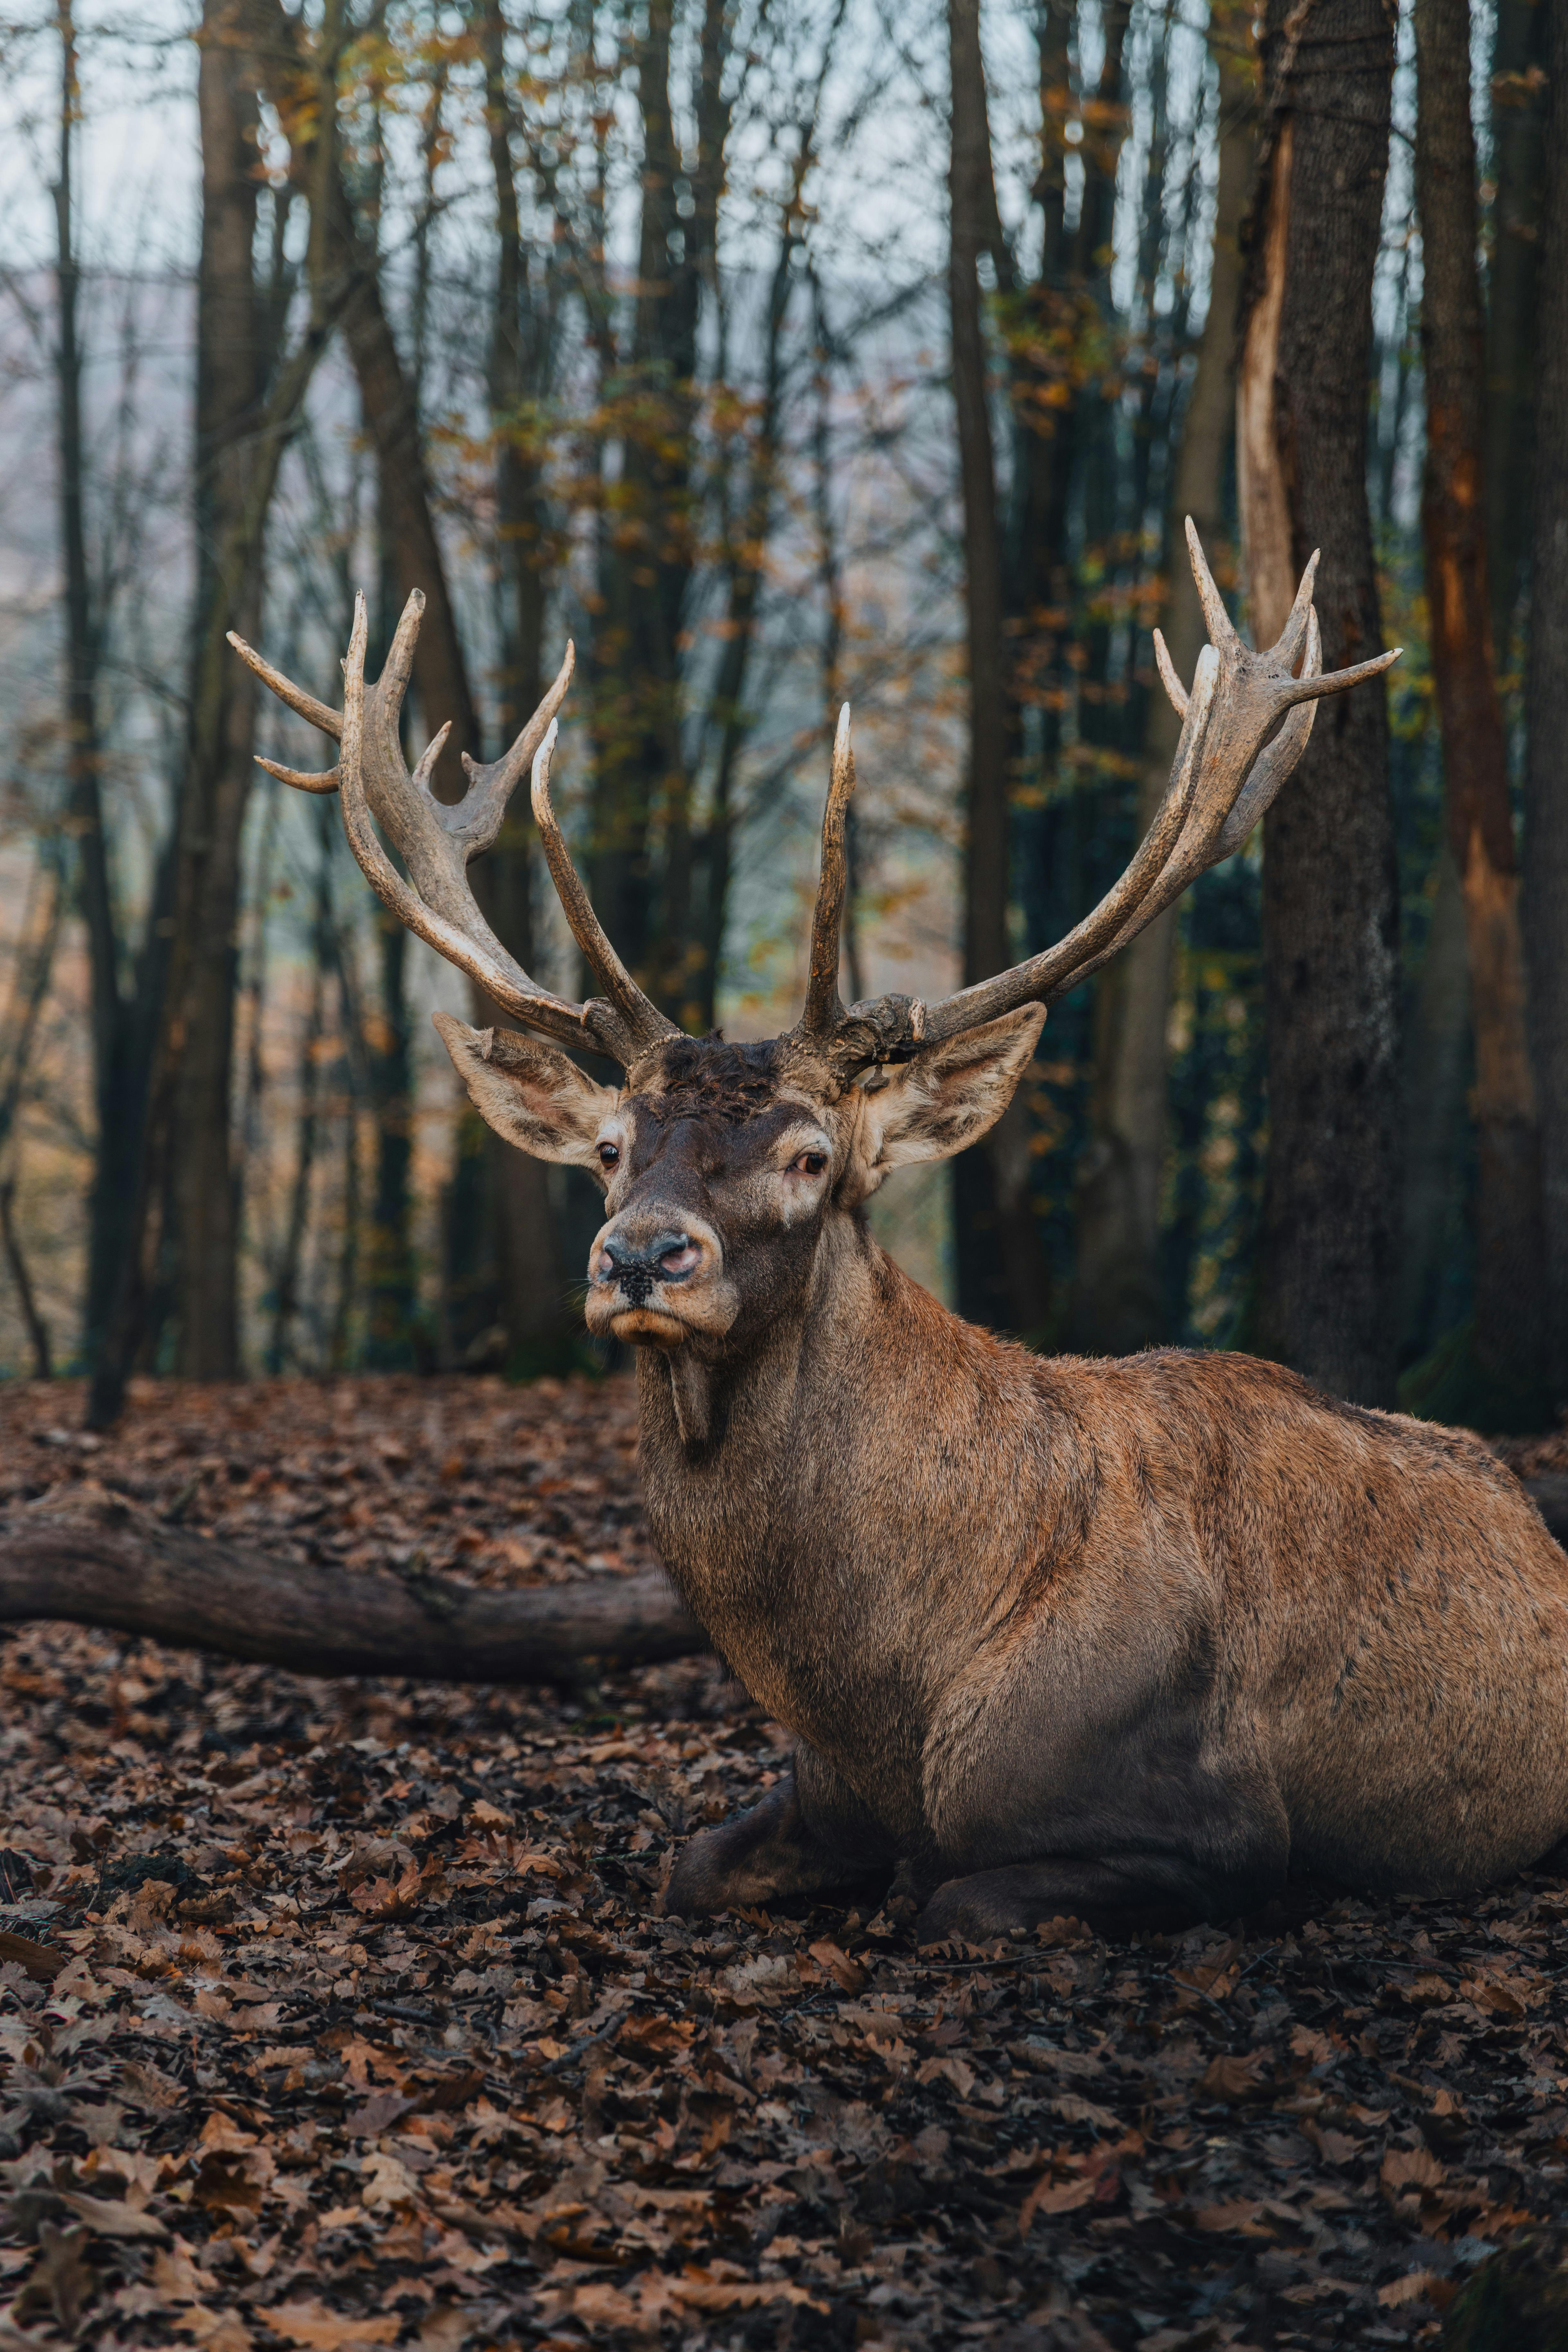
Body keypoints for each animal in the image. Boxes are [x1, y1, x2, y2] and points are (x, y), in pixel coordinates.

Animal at [230, 525, 1568, 1943]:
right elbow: (688, 1865)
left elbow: (949, 1899)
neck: (884, 1704)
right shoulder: (814, 1788)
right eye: (607, 1151)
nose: (641, 1255)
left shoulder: (1218, 1822)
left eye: (811, 1157)